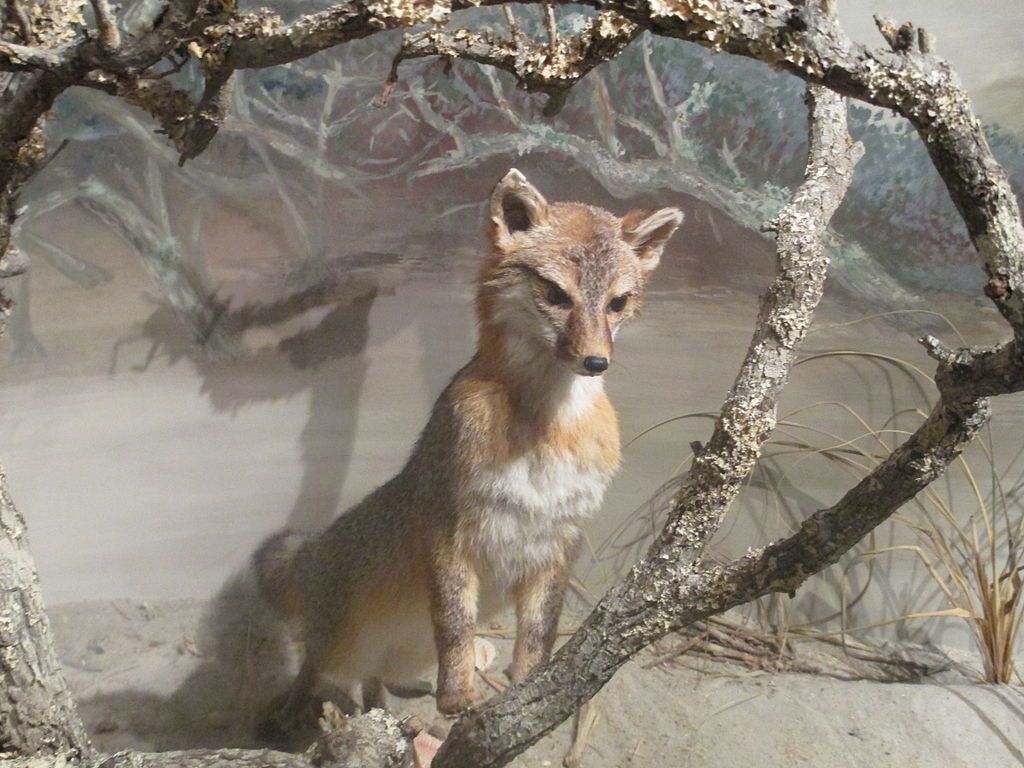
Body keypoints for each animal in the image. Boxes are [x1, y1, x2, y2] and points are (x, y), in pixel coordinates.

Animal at [254, 169, 683, 732]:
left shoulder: (561, 542)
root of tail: (321, 544)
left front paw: (529, 690)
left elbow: (539, 635)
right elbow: (456, 626)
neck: (543, 432)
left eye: (617, 303)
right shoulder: (449, 532)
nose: (595, 362)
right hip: (338, 650)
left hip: (394, 657)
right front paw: (457, 697)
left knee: (372, 684)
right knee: (311, 672)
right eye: (555, 294)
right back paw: (285, 714)